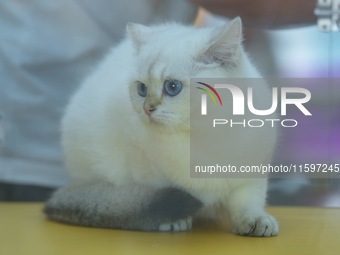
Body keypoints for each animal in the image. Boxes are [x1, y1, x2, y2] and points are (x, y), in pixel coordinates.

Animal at [45, 18, 278, 237]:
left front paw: (256, 222)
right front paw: (175, 221)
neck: (199, 135)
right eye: (142, 89)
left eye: (172, 87)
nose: (148, 109)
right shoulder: (147, 170)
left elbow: (247, 203)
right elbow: (164, 193)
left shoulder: (251, 175)